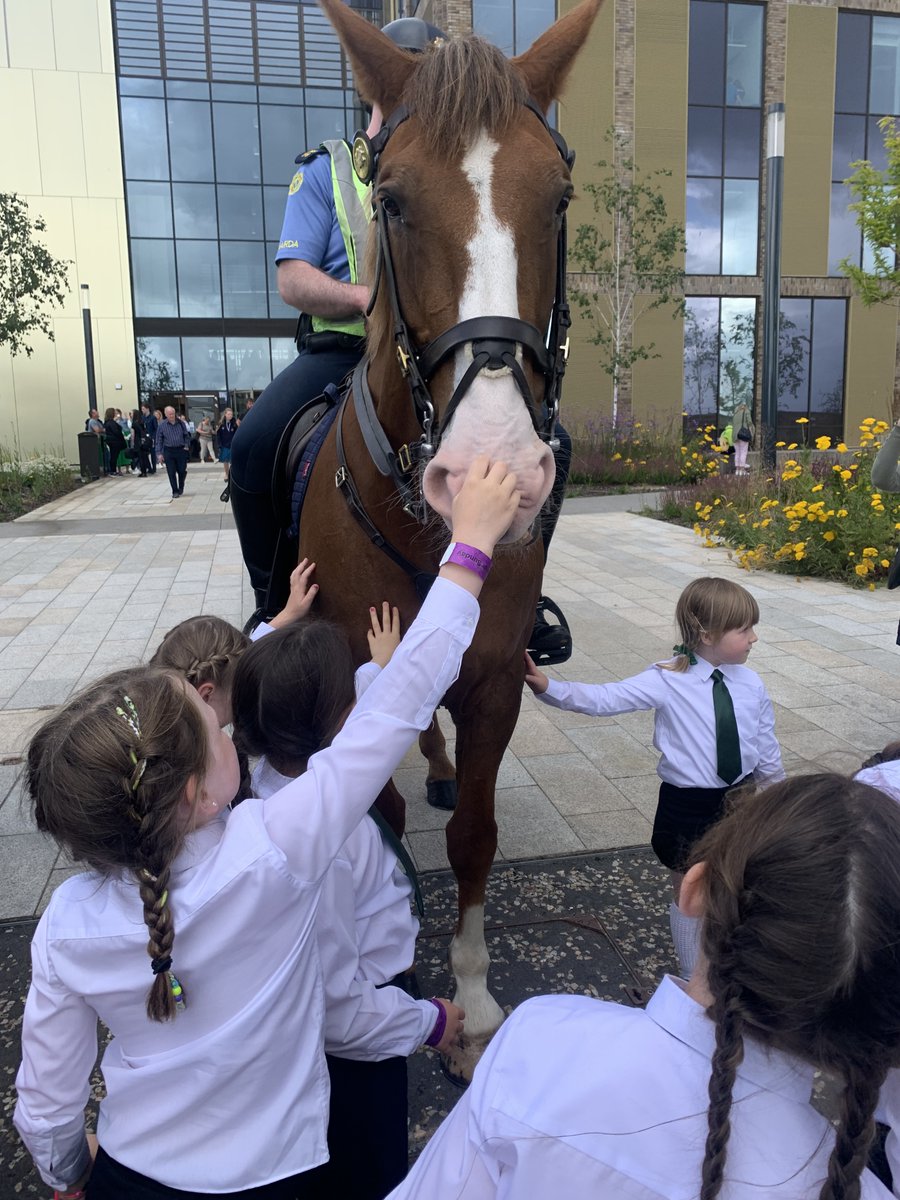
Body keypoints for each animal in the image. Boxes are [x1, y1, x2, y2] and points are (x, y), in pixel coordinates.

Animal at [303, 0, 607, 1084]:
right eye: (390, 201)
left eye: (558, 200)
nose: (494, 470)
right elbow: (375, 824)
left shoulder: (492, 678)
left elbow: (474, 834)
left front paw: (471, 1004)